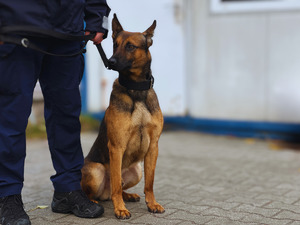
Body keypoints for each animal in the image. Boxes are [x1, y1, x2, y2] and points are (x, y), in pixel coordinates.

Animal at [81, 14, 165, 220]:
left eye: (130, 46)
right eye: (114, 44)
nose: (110, 62)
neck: (136, 89)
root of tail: (103, 193)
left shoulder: (153, 147)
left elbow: (149, 183)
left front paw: (152, 203)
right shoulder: (117, 146)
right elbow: (117, 186)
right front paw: (119, 209)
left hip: (136, 170)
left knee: (119, 186)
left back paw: (128, 195)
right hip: (96, 170)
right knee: (101, 190)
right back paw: (95, 202)